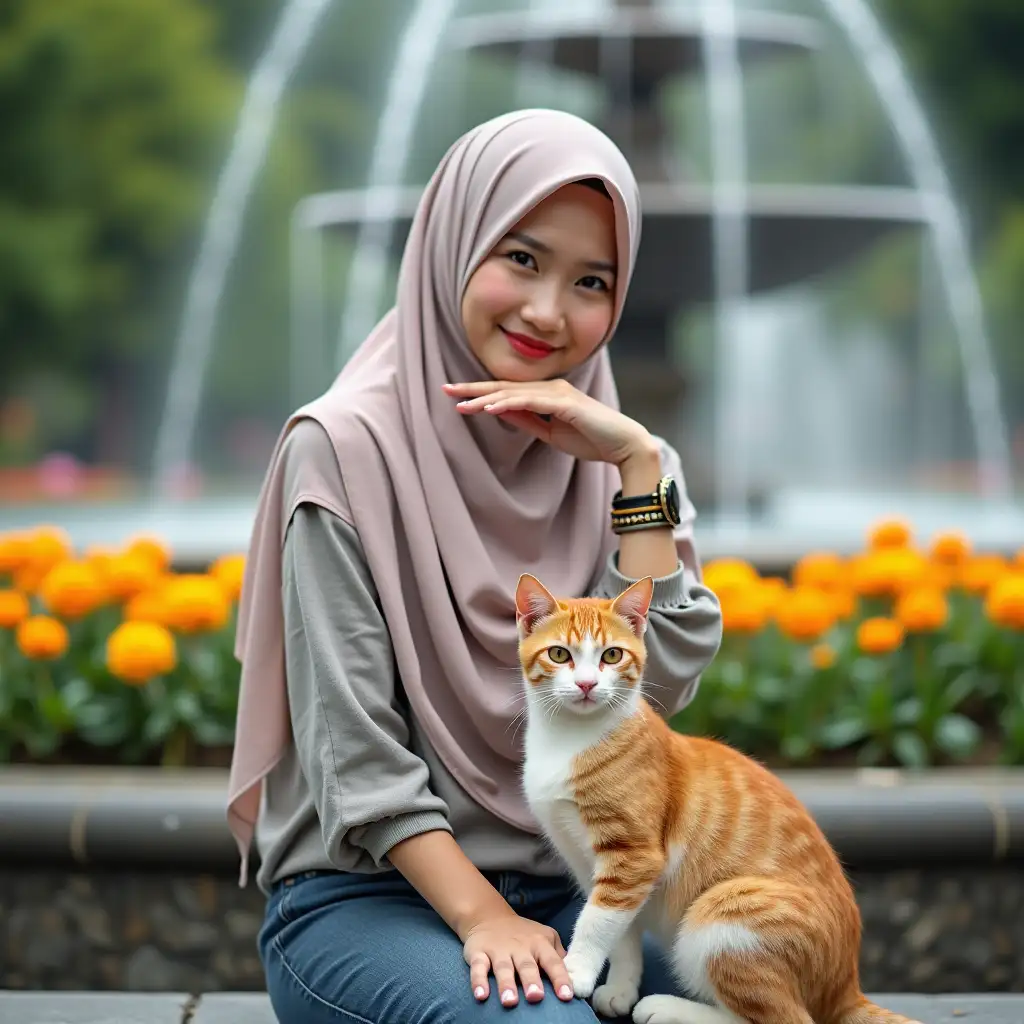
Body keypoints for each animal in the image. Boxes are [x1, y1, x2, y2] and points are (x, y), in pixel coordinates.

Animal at [516, 573, 925, 1024]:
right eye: (559, 654)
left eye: (611, 655)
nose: (587, 684)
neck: (569, 739)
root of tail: (845, 987)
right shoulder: (593, 867)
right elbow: (619, 931)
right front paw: (620, 988)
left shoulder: (634, 856)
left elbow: (595, 923)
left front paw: (576, 971)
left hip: (722, 917)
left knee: (785, 1018)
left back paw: (667, 1007)